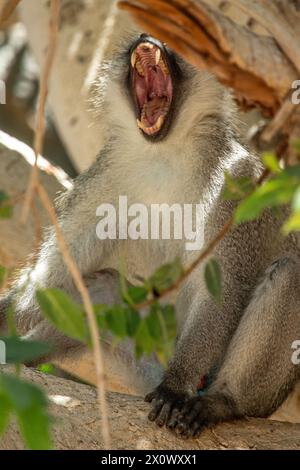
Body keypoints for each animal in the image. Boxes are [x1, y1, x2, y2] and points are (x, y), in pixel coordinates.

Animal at [0, 34, 300, 436]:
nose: (146, 40)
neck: (165, 153)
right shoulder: (105, 177)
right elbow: (56, 279)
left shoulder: (235, 182)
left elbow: (223, 287)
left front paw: (174, 389)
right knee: (103, 287)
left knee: (288, 276)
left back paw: (222, 402)